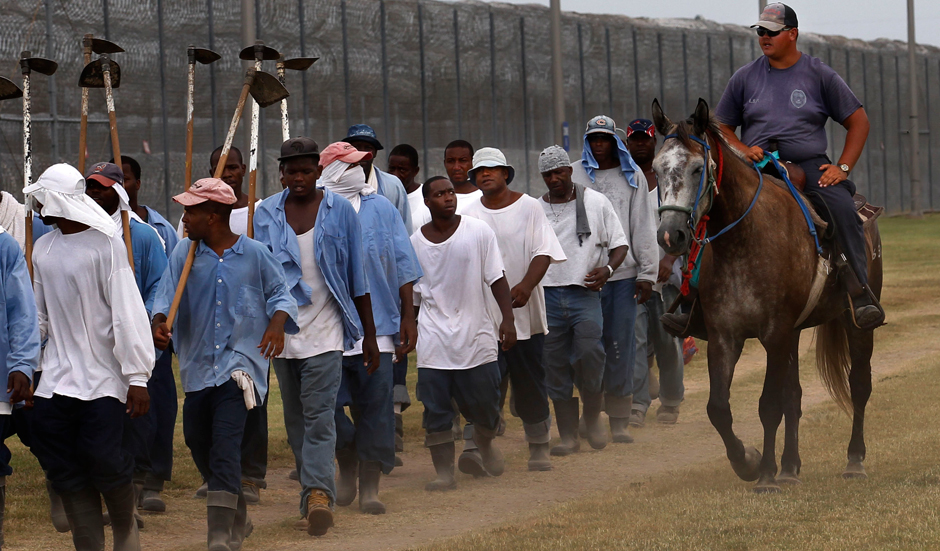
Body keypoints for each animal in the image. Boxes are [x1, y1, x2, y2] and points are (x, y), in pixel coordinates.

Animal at [648, 97, 884, 494]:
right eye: (656, 169)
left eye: (697, 168)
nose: (670, 235)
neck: (743, 239)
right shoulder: (726, 337)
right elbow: (719, 408)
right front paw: (749, 461)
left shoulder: (774, 333)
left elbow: (768, 405)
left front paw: (766, 476)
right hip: (794, 333)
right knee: (795, 396)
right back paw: (790, 466)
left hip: (854, 323)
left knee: (859, 385)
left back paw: (854, 461)